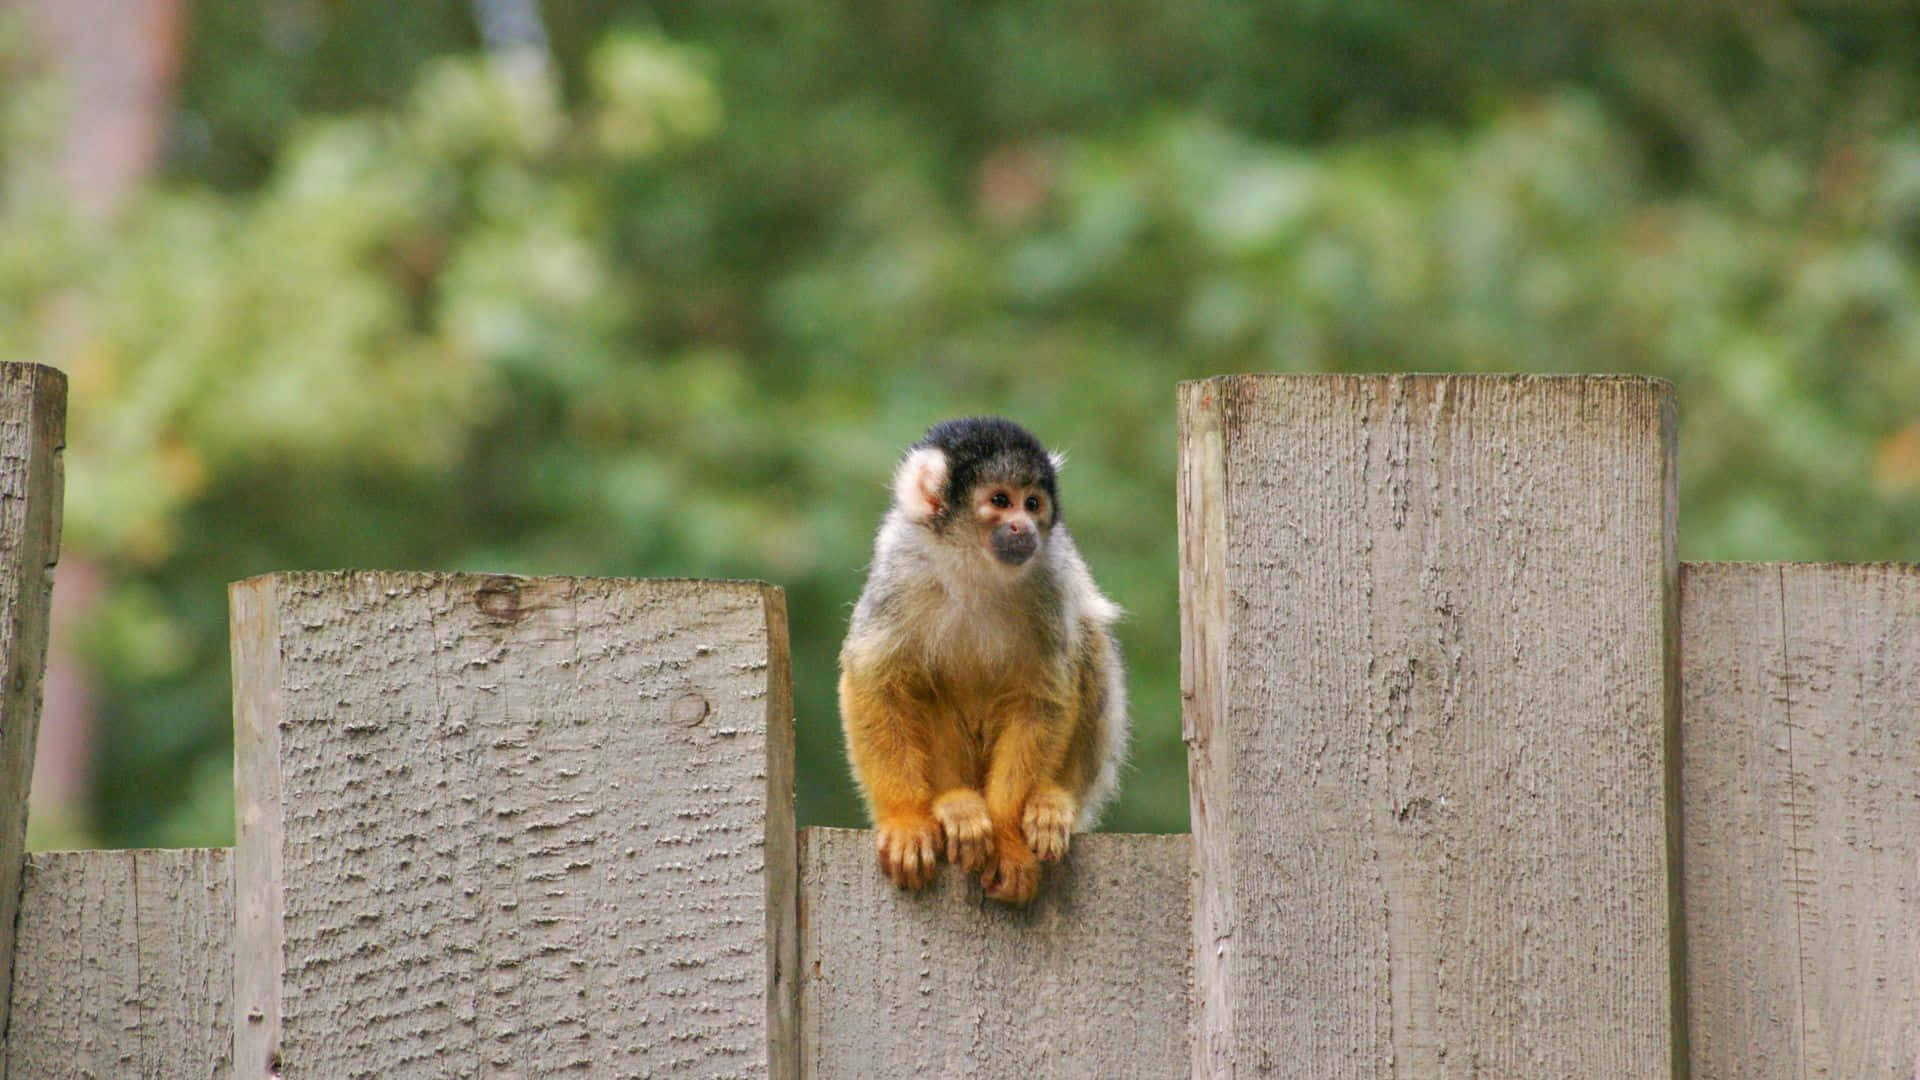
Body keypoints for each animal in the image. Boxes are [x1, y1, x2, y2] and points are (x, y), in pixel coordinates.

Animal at [838, 417, 1127, 905]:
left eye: (1033, 504)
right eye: (999, 501)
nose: (1023, 527)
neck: (973, 566)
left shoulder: (1049, 578)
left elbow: (1042, 696)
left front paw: (1009, 841)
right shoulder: (902, 569)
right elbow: (875, 680)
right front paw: (905, 819)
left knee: (1087, 636)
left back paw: (1052, 801)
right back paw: (954, 804)